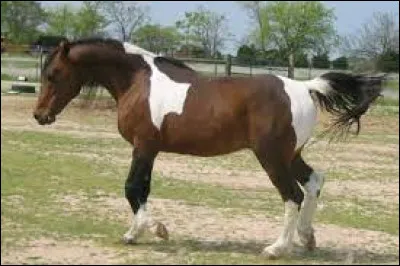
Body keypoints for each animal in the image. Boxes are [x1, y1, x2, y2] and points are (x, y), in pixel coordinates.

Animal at [32, 38, 384, 258]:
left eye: (53, 74)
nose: (40, 115)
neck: (138, 82)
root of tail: (304, 86)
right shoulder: (151, 151)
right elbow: (142, 189)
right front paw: (134, 234)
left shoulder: (143, 147)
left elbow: (132, 188)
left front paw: (154, 230)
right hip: (291, 155)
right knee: (314, 182)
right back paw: (307, 236)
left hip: (271, 157)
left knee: (293, 195)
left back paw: (276, 249)